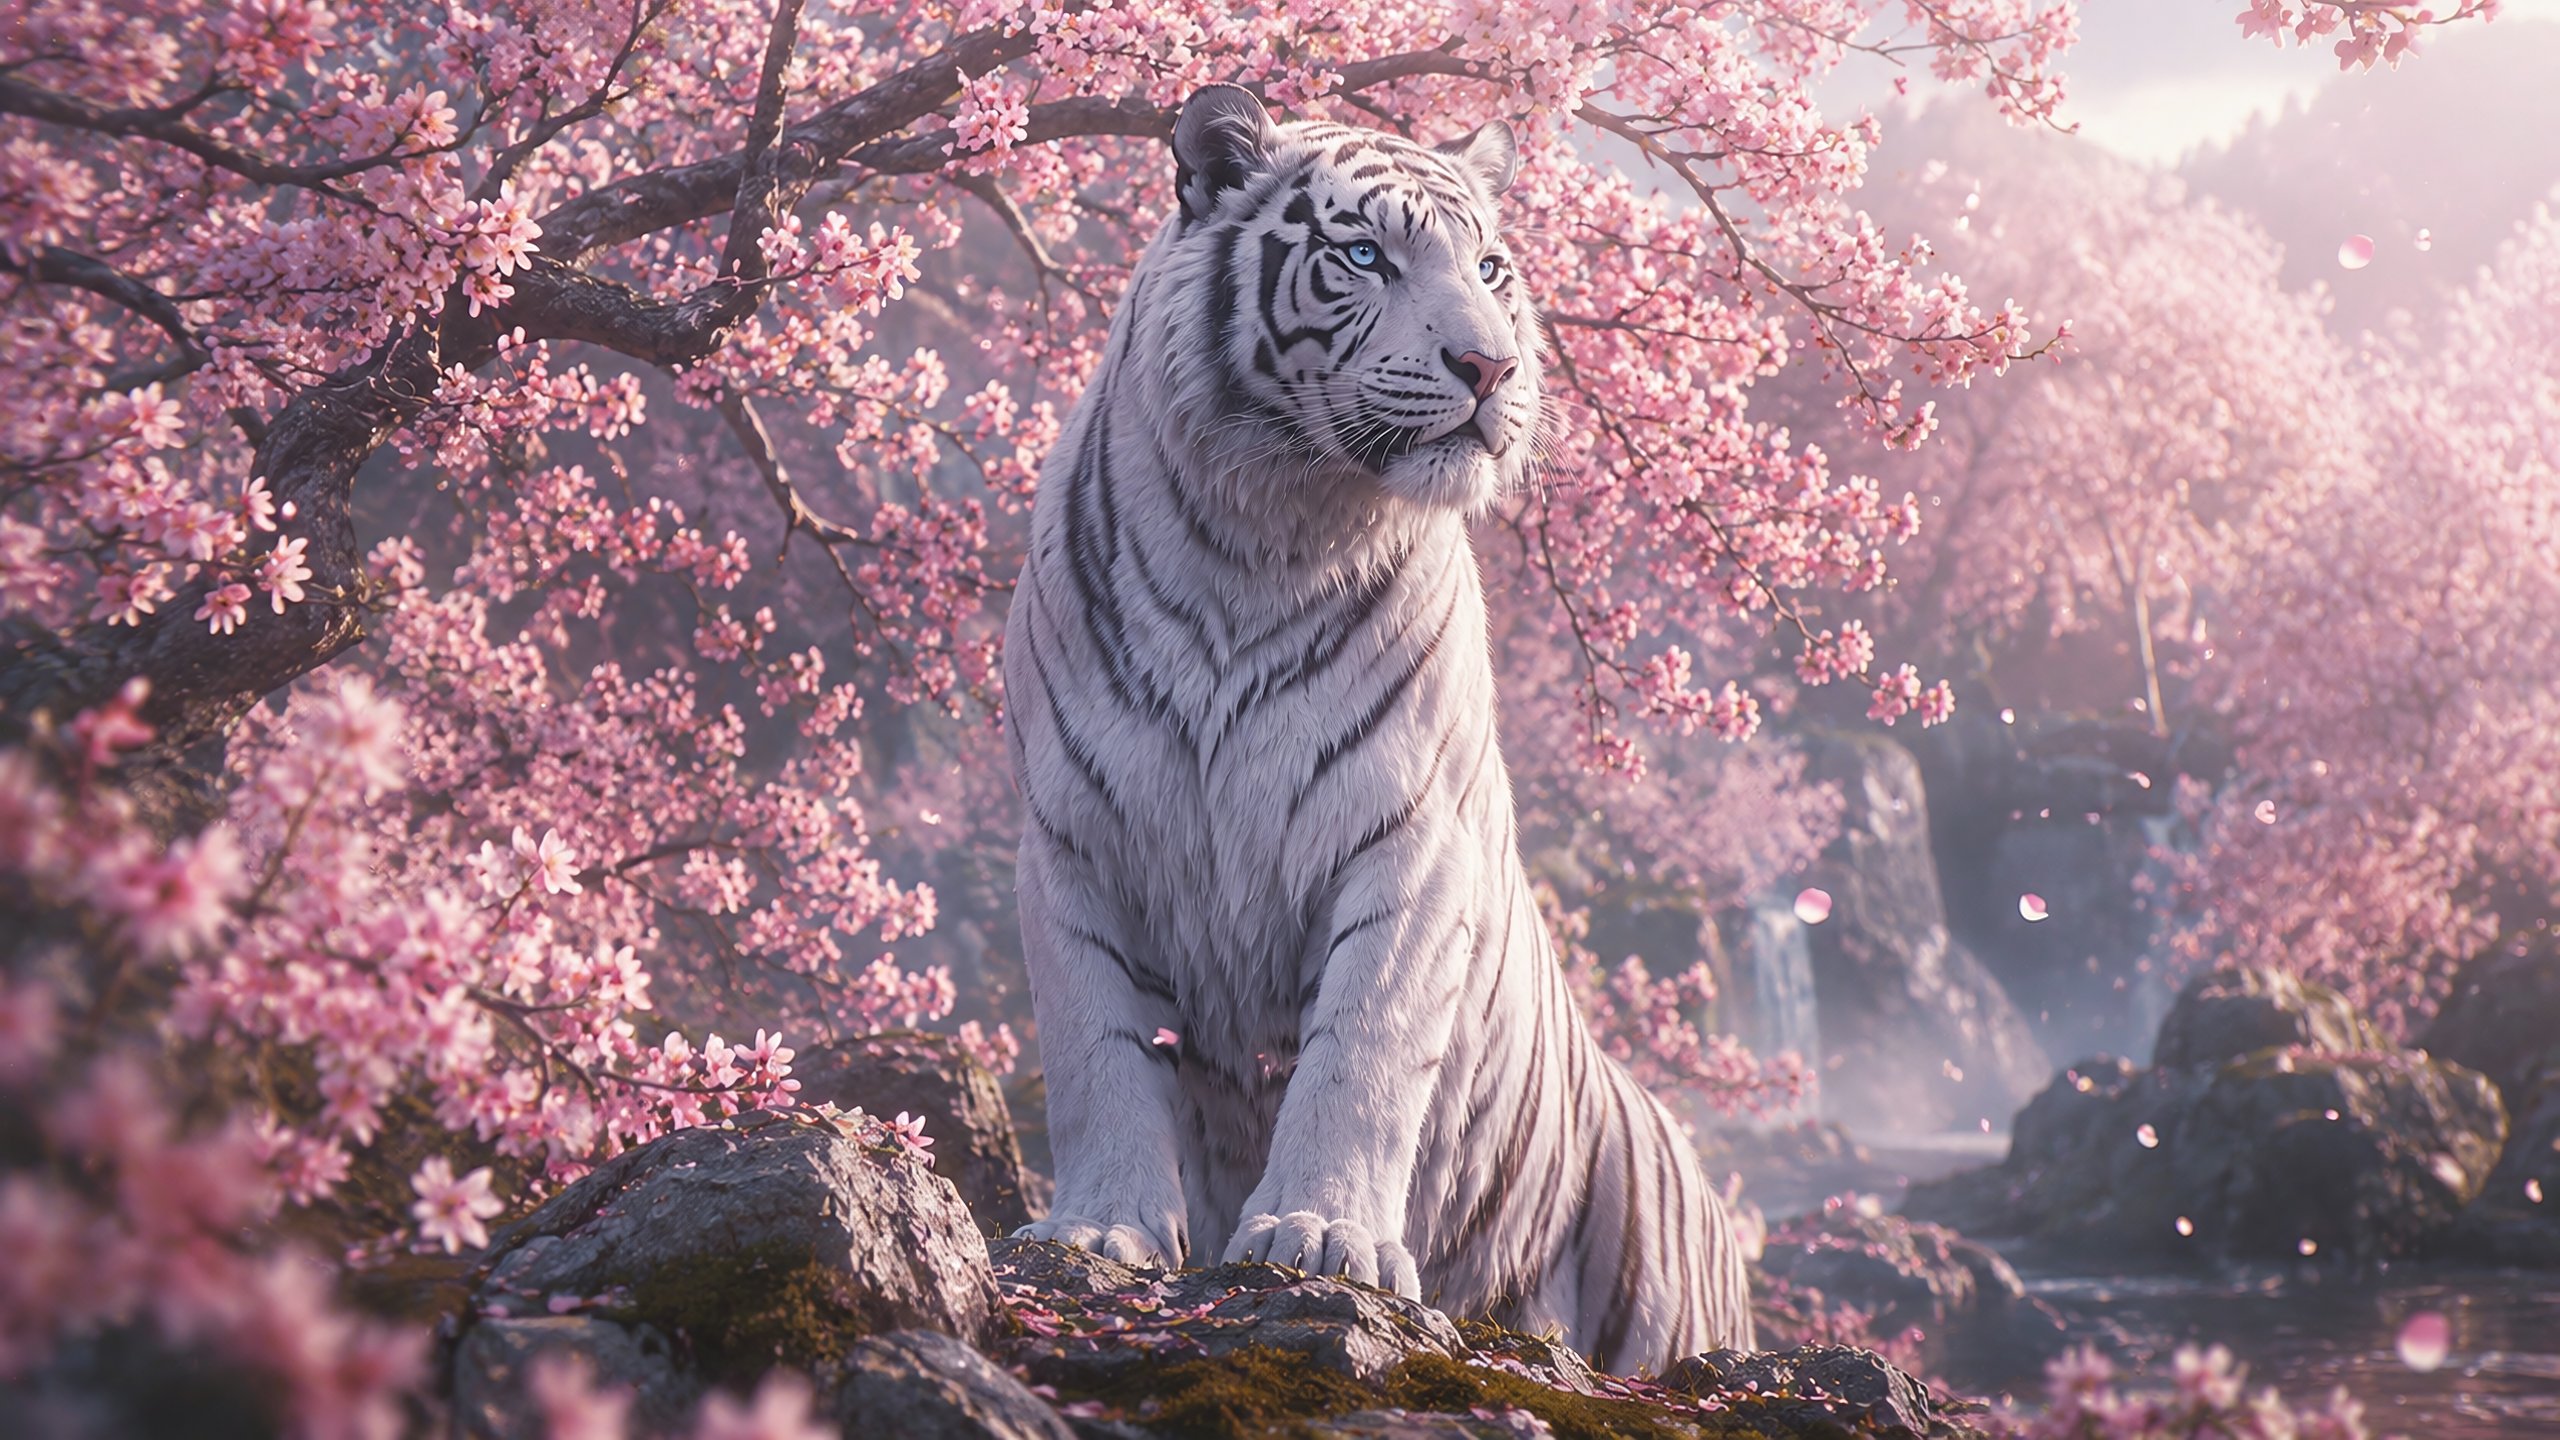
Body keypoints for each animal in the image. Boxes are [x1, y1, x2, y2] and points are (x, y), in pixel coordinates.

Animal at [1002, 83, 1756, 1374]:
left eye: (1492, 266)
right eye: (1364, 256)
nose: (1489, 364)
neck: (1260, 531)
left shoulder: (1410, 841)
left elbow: (1361, 1052)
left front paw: (1319, 1239)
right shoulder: (1070, 840)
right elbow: (1095, 1050)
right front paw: (1101, 1233)